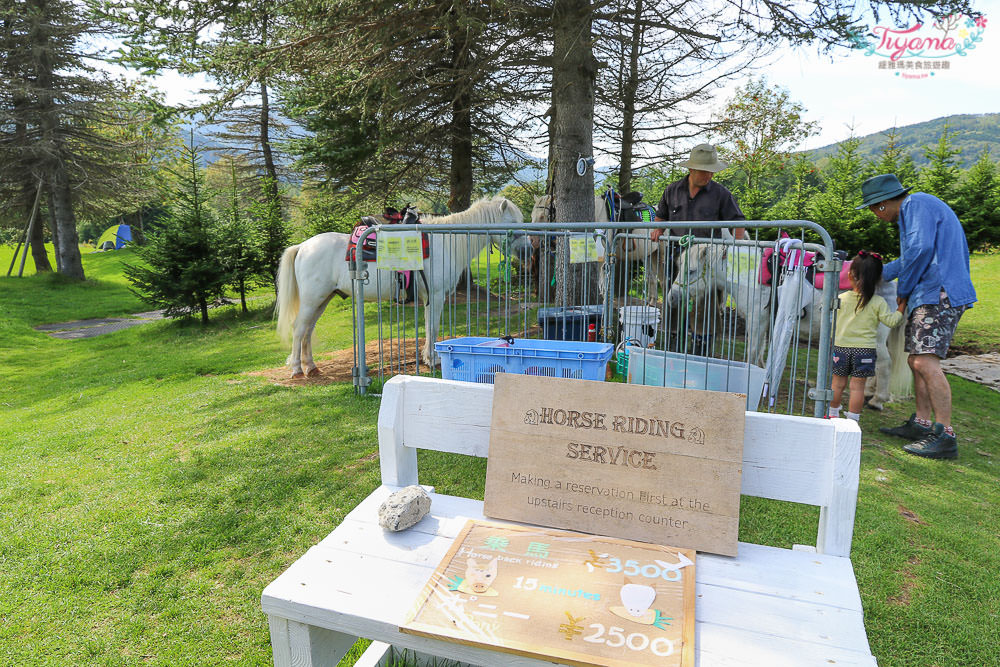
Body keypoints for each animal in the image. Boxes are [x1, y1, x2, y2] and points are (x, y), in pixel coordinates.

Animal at [274, 197, 524, 376]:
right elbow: (432, 327)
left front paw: (427, 357)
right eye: (513, 223)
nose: (526, 249)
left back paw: (310, 366)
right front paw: (432, 360)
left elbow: (430, 327)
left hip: (322, 300)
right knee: (299, 329)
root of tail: (303, 246)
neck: (445, 242)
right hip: (312, 300)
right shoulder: (435, 296)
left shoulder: (430, 298)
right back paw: (297, 368)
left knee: (308, 330)